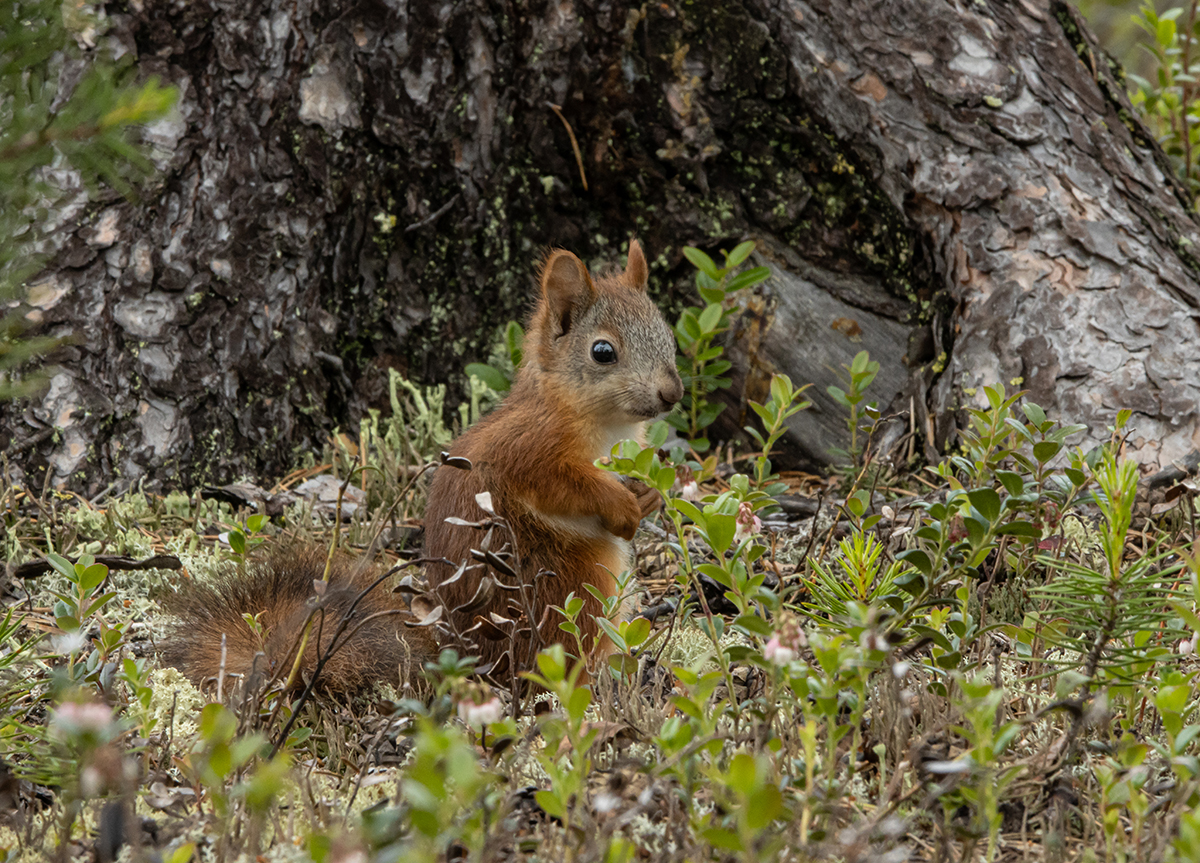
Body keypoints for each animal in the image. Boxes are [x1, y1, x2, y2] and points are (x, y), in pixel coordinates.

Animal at [163, 241, 681, 696]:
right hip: (575, 589)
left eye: (668, 337)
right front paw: (622, 506)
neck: (598, 420)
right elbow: (564, 486)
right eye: (602, 352)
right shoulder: (528, 450)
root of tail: (464, 659)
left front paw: (649, 495)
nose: (672, 394)